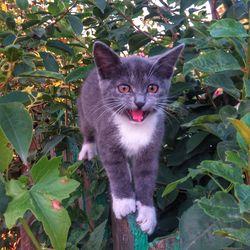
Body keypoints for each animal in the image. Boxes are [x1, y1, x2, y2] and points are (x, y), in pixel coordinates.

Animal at [77, 41, 184, 234]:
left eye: (152, 88)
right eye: (124, 88)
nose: (140, 102)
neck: (134, 127)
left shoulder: (152, 146)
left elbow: (146, 177)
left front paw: (147, 214)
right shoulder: (107, 138)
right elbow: (116, 170)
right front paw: (124, 202)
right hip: (83, 108)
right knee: (87, 129)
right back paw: (88, 149)